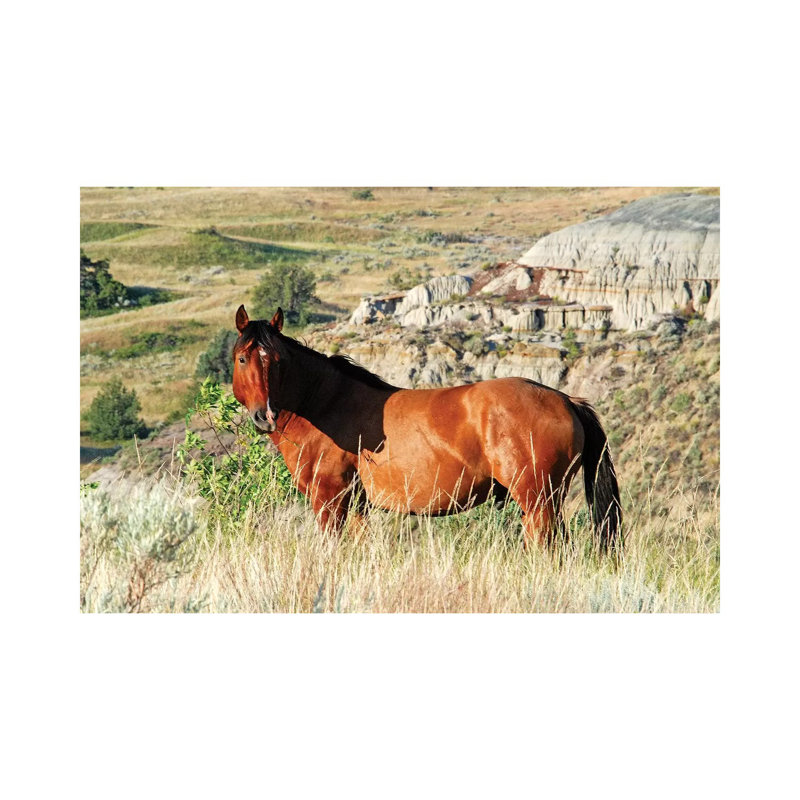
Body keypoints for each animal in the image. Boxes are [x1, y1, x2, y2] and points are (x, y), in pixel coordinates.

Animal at [231, 305, 622, 553]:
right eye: (243, 358)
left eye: (277, 361)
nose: (265, 415)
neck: (326, 404)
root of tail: (566, 400)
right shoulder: (355, 505)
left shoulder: (329, 500)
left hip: (538, 500)